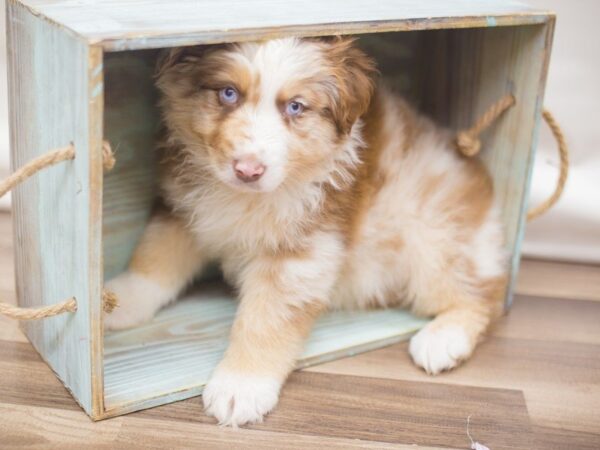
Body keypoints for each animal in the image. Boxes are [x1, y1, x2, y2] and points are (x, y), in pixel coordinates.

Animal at [104, 37, 506, 428]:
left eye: (296, 107)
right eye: (228, 93)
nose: (248, 170)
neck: (246, 198)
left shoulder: (299, 253)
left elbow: (264, 320)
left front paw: (241, 386)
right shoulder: (184, 208)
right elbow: (155, 256)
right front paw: (118, 302)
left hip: (435, 233)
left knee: (483, 294)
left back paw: (443, 339)